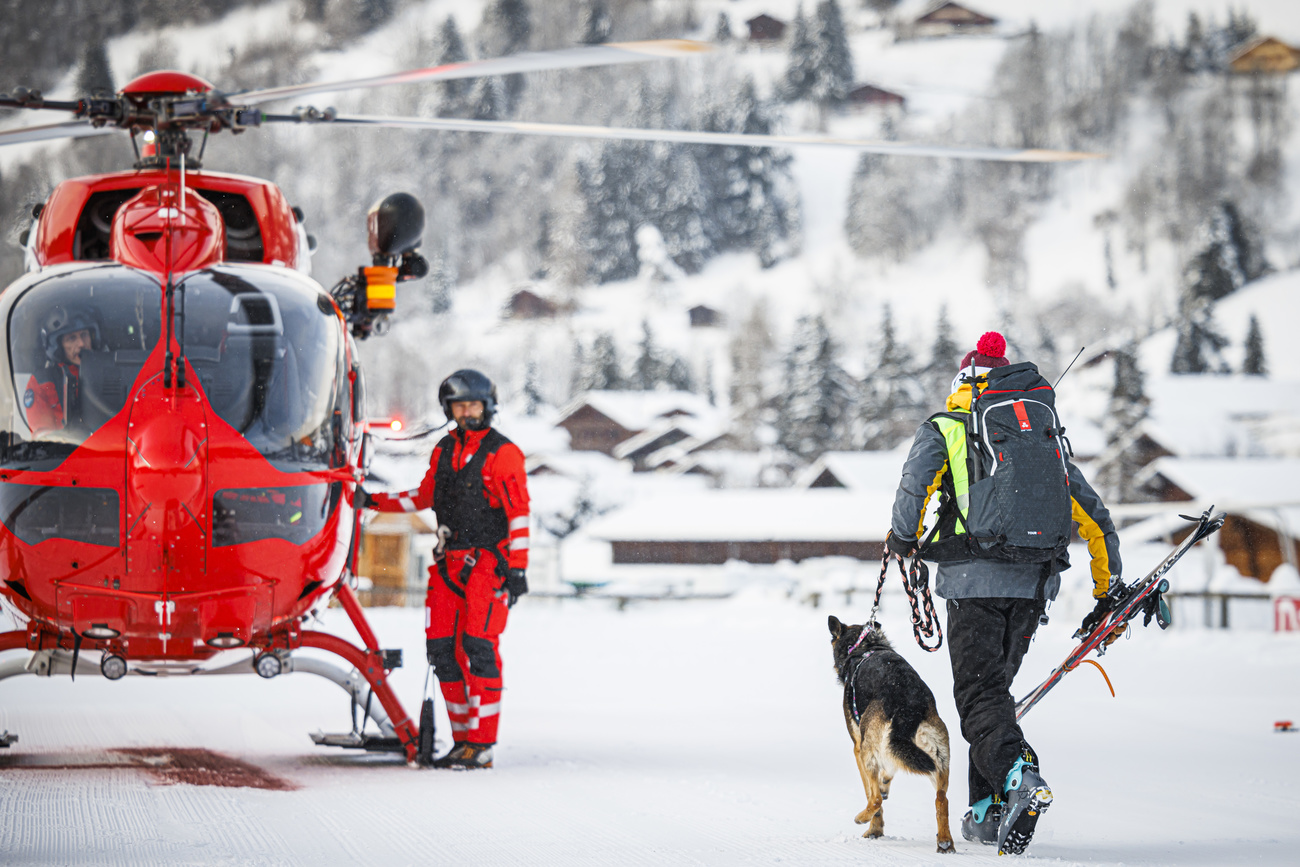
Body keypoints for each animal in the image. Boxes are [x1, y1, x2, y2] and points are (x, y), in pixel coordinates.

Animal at [832, 616, 956, 852]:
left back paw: (863, 818)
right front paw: (884, 786)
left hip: (868, 751)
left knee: (875, 801)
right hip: (938, 757)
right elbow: (889, 771)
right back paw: (945, 841)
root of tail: (908, 707)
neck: (865, 646)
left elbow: (873, 794)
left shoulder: (858, 747)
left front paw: (875, 829)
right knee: (942, 799)